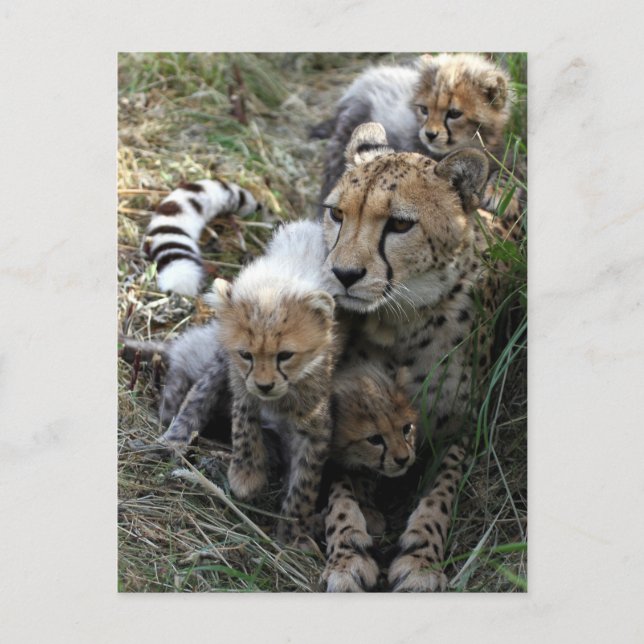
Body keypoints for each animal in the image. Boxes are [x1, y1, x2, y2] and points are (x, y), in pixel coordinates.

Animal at [318, 121, 522, 591]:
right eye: (337, 215)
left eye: (399, 223)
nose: (343, 274)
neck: (401, 323)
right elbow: (339, 490)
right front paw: (347, 551)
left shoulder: (464, 428)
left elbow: (439, 493)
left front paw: (422, 560)